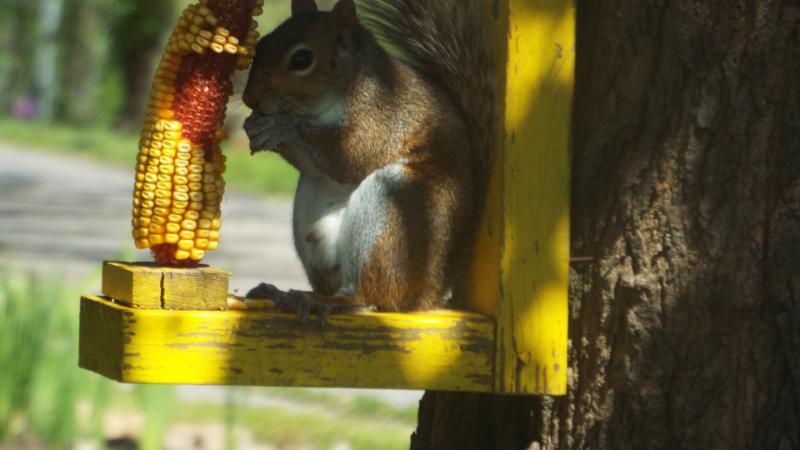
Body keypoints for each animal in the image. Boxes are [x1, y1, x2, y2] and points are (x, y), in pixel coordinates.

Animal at [242, 0, 497, 320]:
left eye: (301, 59)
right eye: (262, 43)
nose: (249, 99)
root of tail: (431, 292)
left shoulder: (382, 115)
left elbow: (351, 155)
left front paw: (279, 126)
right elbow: (315, 164)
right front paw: (254, 124)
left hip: (398, 208)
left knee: (372, 297)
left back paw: (327, 302)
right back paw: (287, 294)